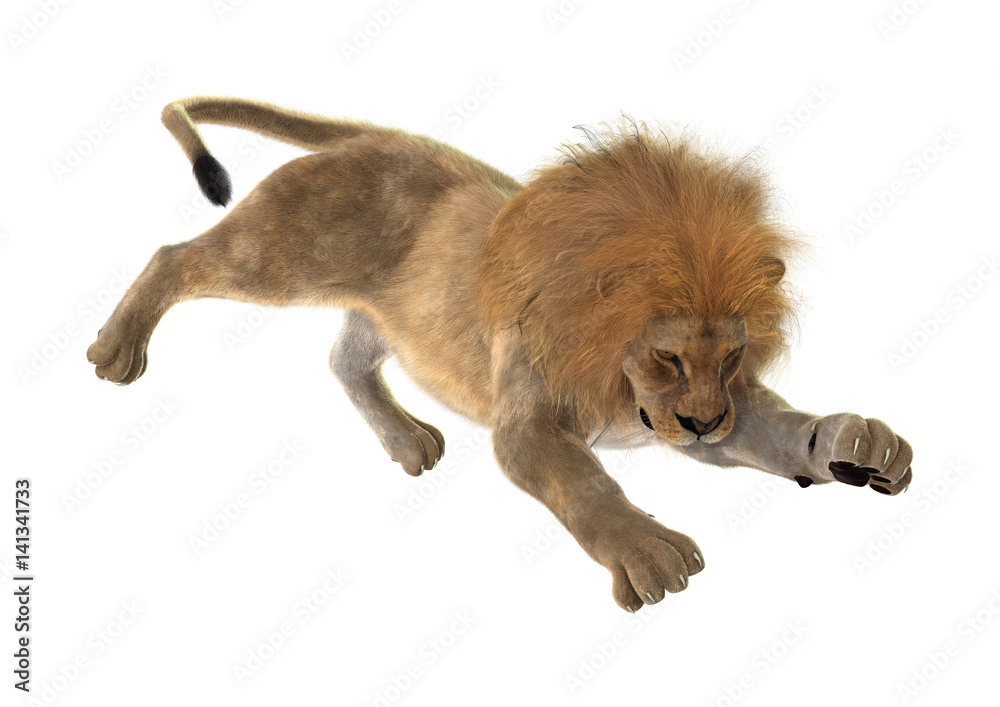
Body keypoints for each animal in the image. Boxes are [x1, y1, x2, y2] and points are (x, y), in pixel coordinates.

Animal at [87, 97, 913, 612]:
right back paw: (117, 349)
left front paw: (861, 445)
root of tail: (370, 138)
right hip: (278, 255)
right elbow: (585, 484)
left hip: (394, 314)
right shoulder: (532, 422)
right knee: (174, 257)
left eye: (734, 358)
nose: (707, 422)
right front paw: (647, 551)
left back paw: (407, 440)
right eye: (670, 357)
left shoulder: (704, 417)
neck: (612, 368)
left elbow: (784, 431)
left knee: (346, 359)